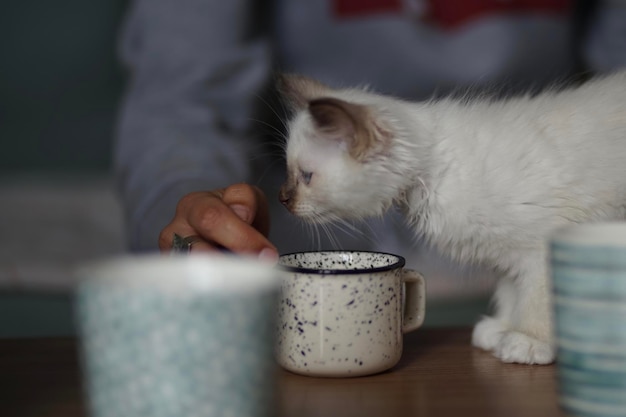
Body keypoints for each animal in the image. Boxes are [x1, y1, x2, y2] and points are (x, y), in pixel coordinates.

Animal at [276, 72, 624, 364]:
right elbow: (510, 295)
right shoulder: (510, 258)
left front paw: (528, 341)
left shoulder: (541, 250)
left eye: (306, 177)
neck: (431, 174)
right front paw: (500, 330)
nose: (283, 199)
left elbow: (536, 302)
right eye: (289, 171)